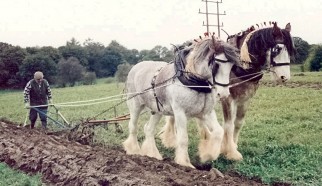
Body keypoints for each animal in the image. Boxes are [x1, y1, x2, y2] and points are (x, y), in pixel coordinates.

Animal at [123, 35, 239, 168]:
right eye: (216, 64)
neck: (194, 81)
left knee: (149, 129)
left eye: (232, 66)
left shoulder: (205, 113)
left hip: (157, 110)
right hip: (135, 105)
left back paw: (153, 155)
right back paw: (134, 150)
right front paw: (185, 163)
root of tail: (135, 67)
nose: (223, 94)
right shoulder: (180, 113)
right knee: (133, 126)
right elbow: (183, 138)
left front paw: (207, 156)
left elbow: (219, 132)